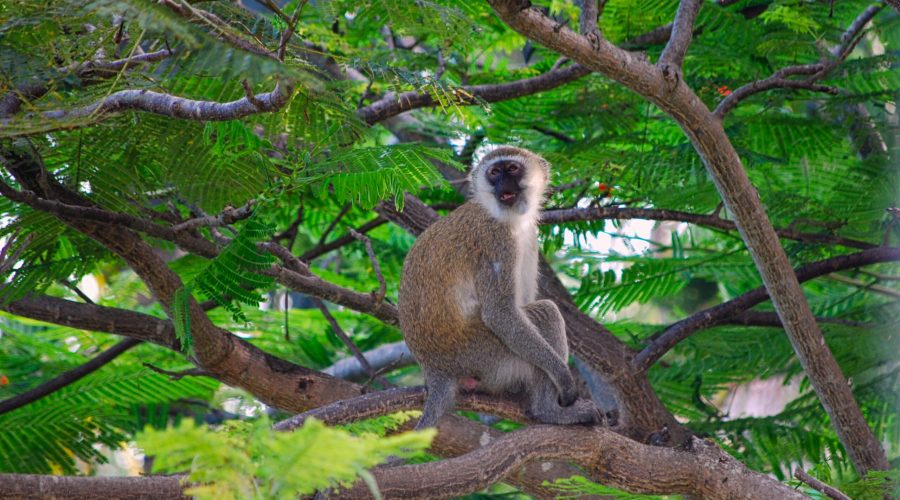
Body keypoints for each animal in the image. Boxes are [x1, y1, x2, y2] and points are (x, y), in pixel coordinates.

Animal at [400, 145, 596, 430]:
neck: (506, 216)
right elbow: (500, 313)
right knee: (545, 312)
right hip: (481, 353)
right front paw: (562, 376)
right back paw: (547, 411)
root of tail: (435, 370)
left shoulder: (528, 236)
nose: (503, 183)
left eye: (512, 169)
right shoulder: (496, 240)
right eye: (494, 173)